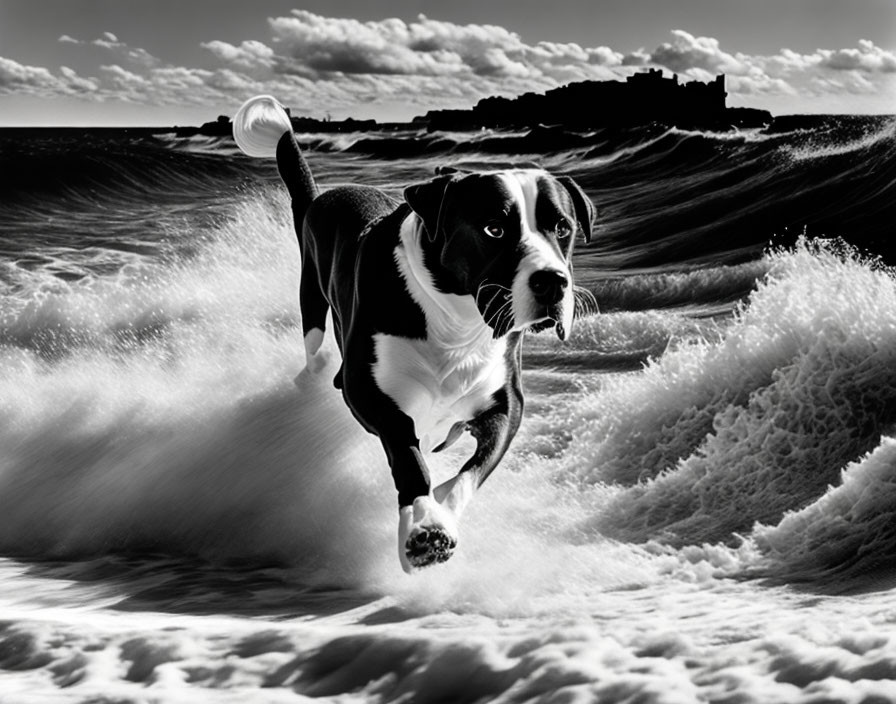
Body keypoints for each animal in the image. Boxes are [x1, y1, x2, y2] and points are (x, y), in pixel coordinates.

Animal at [234, 95, 592, 572]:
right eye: (494, 228)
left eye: (563, 228)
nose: (552, 282)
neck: (457, 324)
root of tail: (322, 196)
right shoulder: (370, 393)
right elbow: (407, 455)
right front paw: (424, 525)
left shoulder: (505, 403)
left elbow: (474, 469)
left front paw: (441, 505)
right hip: (311, 299)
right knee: (316, 353)